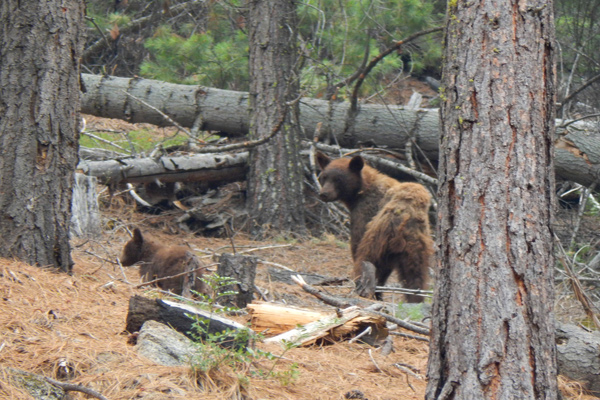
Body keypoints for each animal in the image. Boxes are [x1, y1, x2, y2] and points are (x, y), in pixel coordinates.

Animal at [316, 152, 434, 302]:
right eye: (324, 177)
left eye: (338, 179)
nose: (324, 194)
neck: (360, 191)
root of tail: (405, 212)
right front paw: (379, 294)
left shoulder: (365, 212)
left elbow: (358, 245)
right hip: (416, 243)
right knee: (415, 272)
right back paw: (415, 298)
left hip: (377, 235)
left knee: (368, 258)